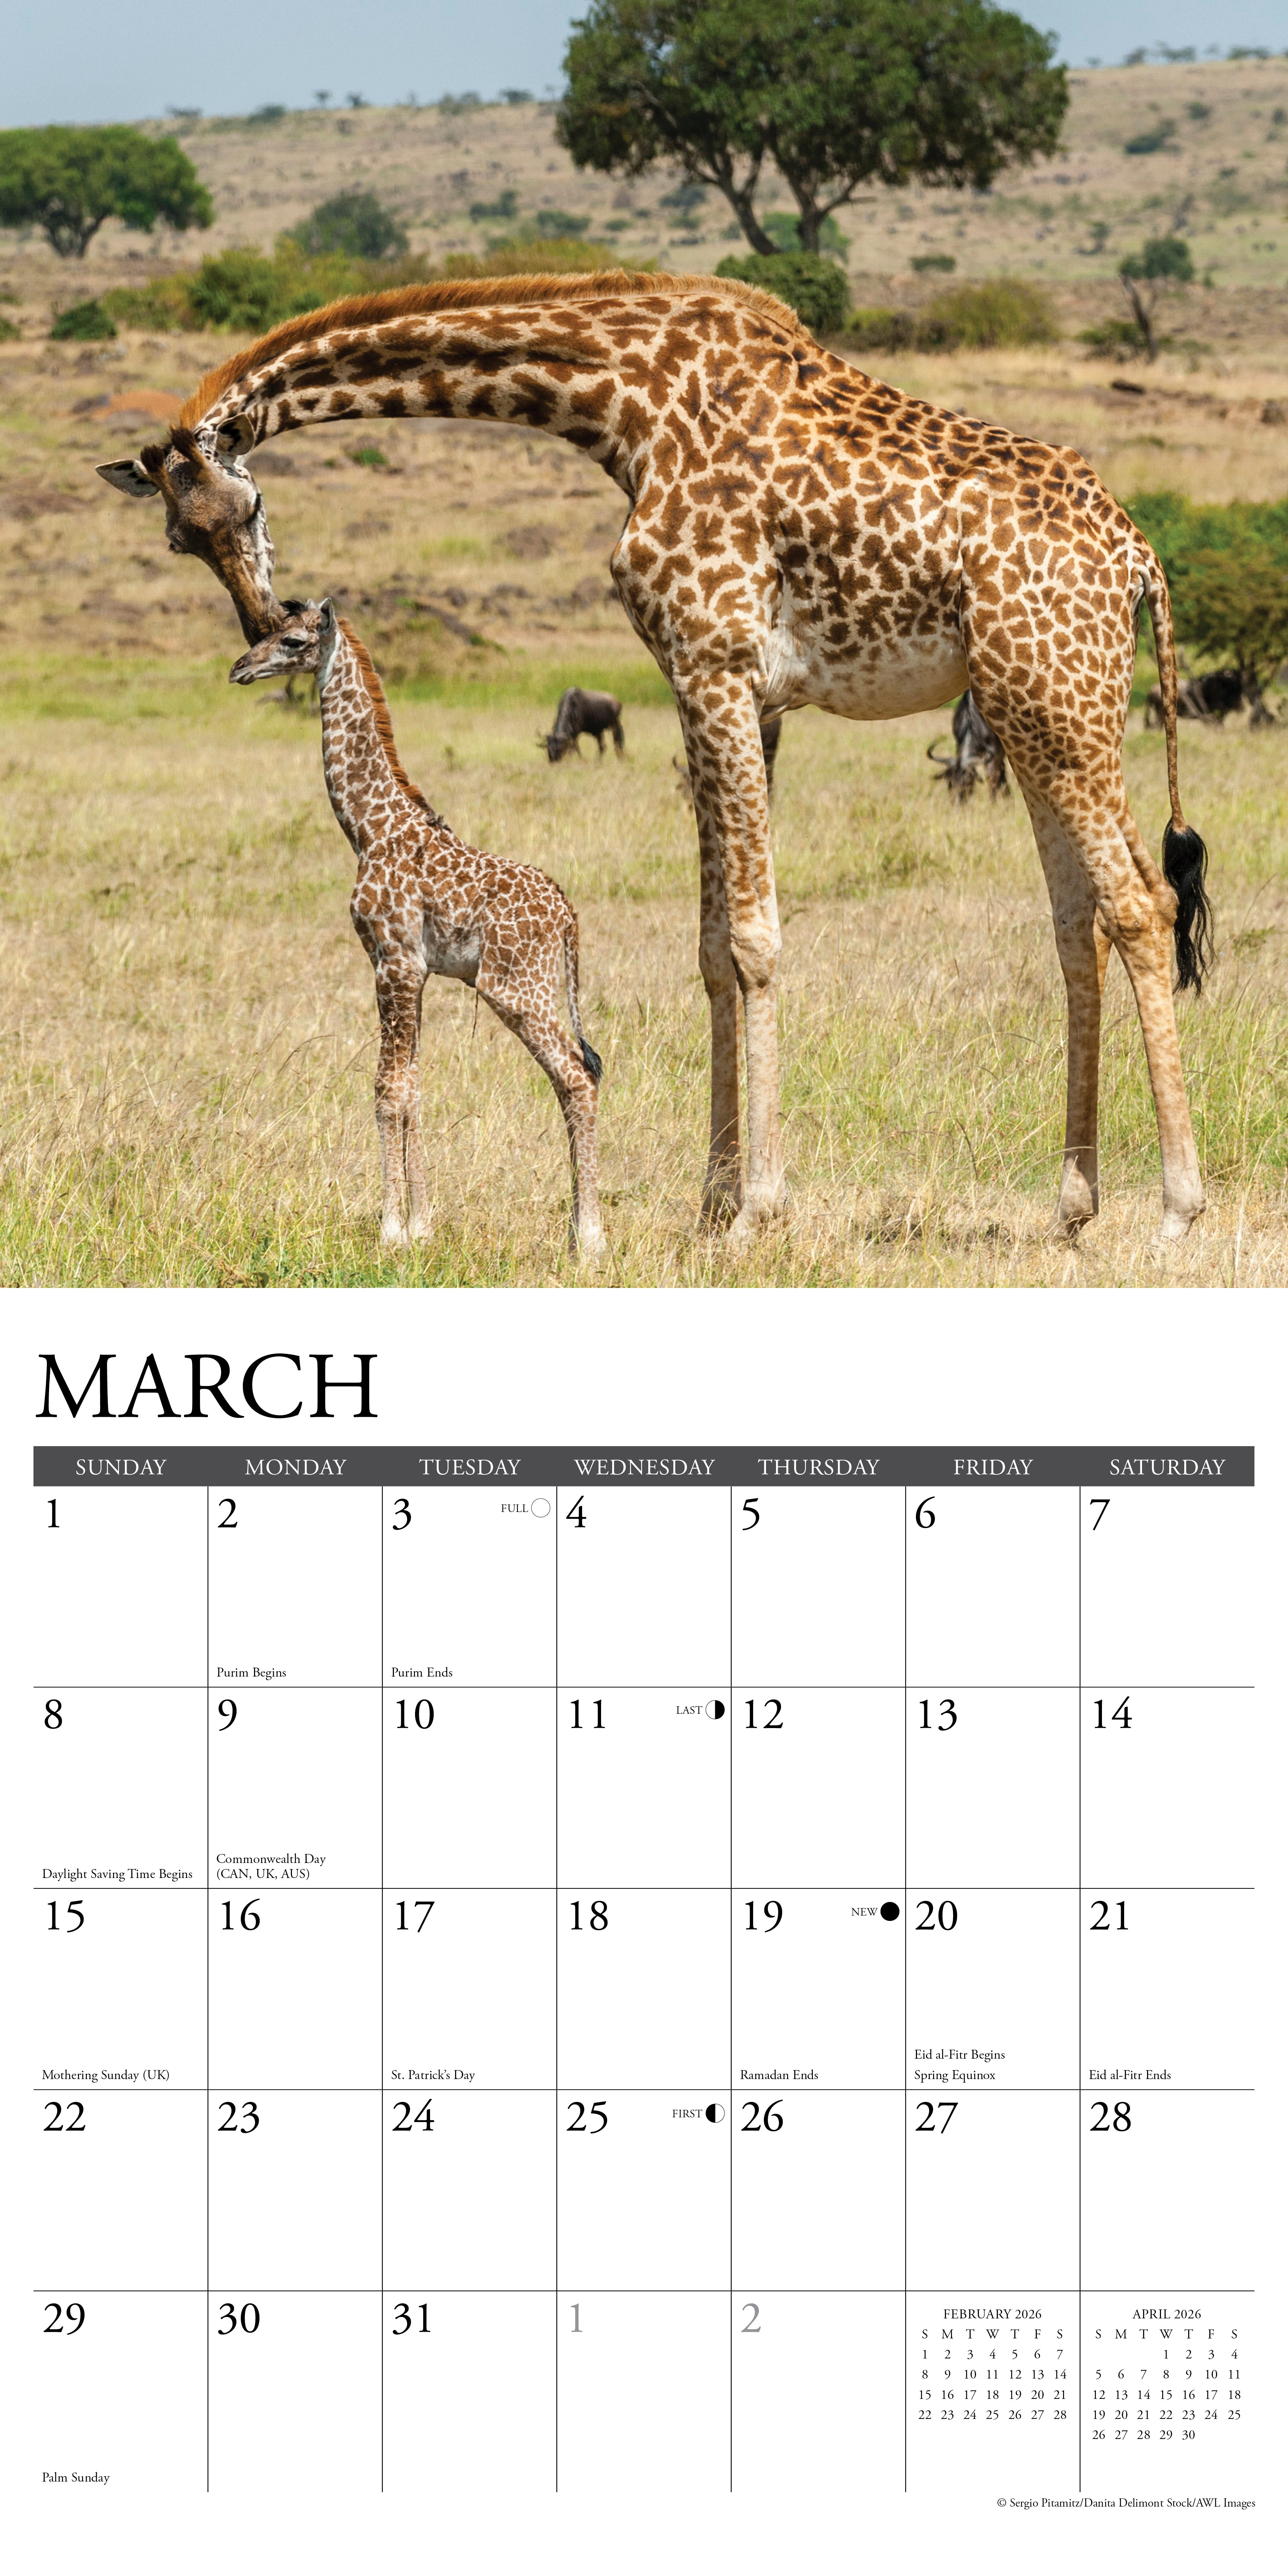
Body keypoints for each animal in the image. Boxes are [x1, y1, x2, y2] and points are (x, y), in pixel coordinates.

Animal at [229, 599, 606, 1257]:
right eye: (271, 633)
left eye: (293, 641)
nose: (240, 668)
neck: (367, 828)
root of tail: (568, 917)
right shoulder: (418, 971)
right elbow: (414, 1086)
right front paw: (423, 1224)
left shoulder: (392, 960)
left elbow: (388, 1090)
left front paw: (393, 1229)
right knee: (577, 1076)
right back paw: (574, 1231)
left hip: (515, 988)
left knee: (577, 1077)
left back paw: (589, 1239)